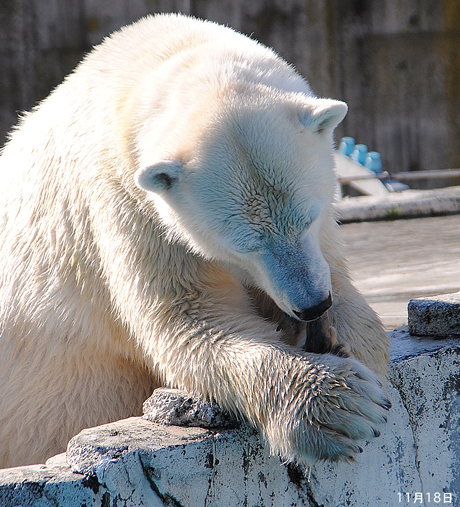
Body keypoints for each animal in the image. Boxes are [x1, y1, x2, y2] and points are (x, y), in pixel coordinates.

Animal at [0, 14, 390, 468]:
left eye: (307, 218)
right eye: (244, 244)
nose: (312, 305)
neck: (153, 59)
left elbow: (334, 271)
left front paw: (351, 343)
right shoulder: (131, 208)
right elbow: (194, 321)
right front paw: (343, 407)